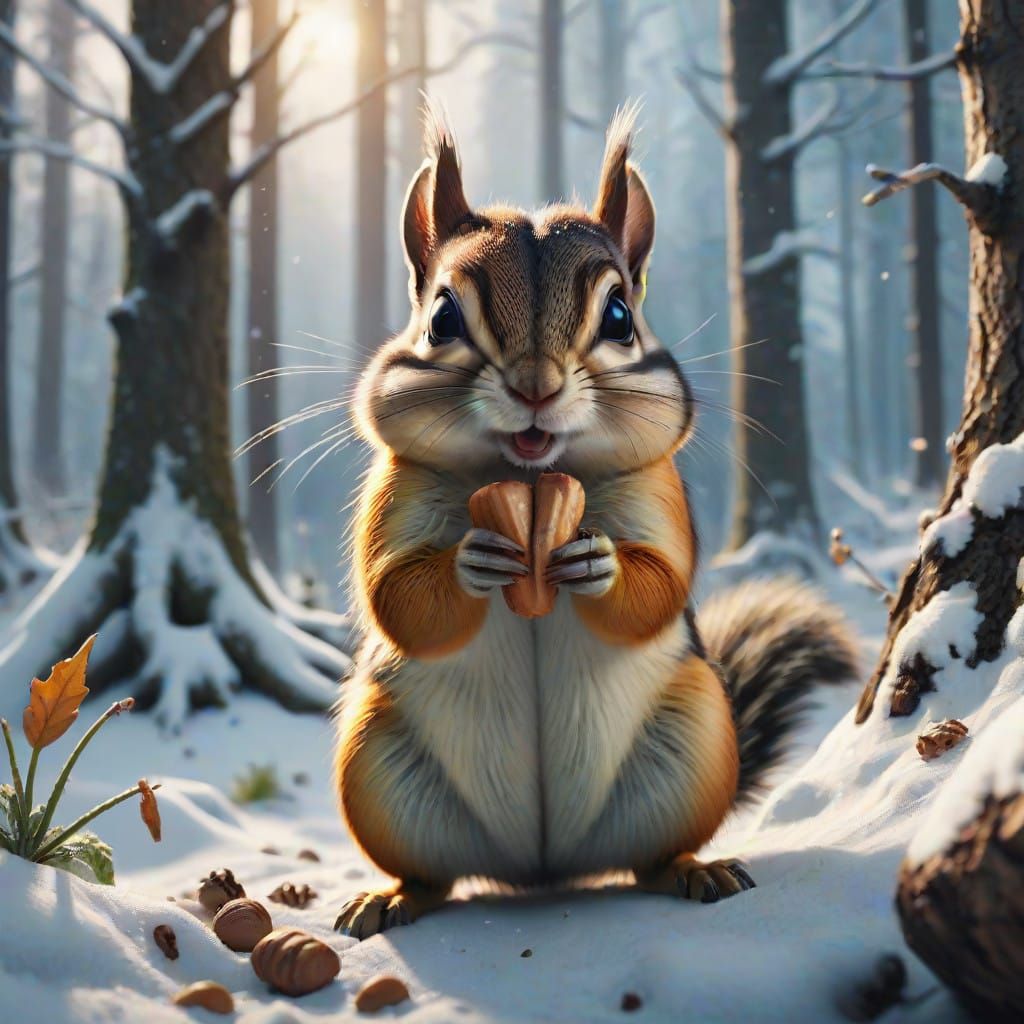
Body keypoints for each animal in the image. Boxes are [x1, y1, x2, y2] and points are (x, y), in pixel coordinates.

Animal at [333, 105, 858, 939]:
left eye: (620, 315)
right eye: (442, 317)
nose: (536, 387)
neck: (532, 478)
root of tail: (544, 869)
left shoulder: (659, 492)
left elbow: (664, 580)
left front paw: (596, 560)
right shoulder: (394, 491)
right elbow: (394, 591)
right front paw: (471, 560)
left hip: (695, 744)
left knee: (652, 857)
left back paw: (695, 870)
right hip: (374, 766)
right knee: (434, 876)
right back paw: (391, 897)